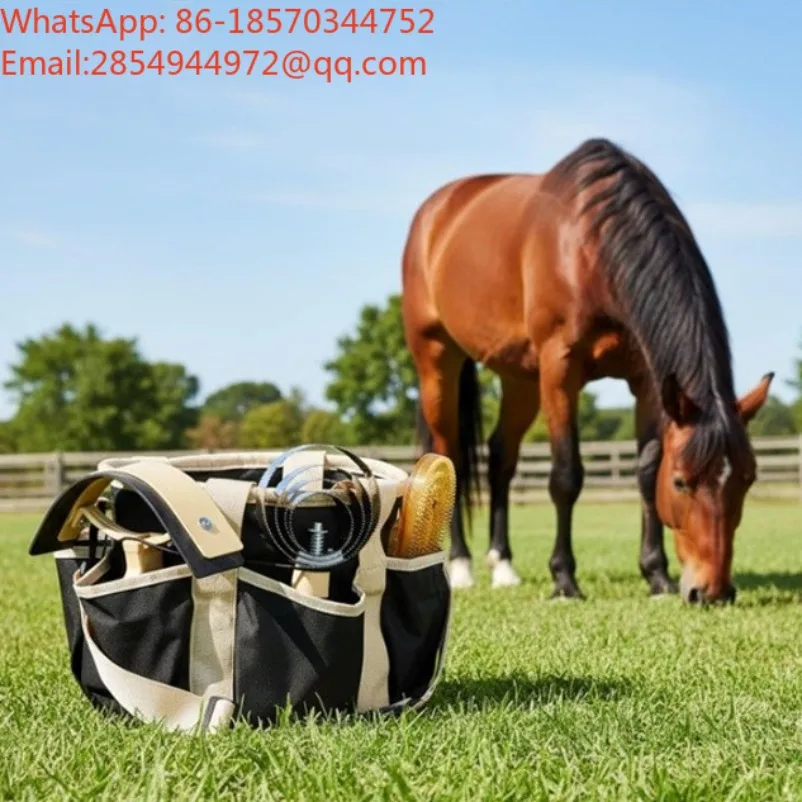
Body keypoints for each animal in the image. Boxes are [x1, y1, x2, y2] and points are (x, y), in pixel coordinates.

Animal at [401, 137, 772, 605]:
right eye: (682, 483)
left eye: (747, 479)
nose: (713, 592)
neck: (588, 247)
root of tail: (436, 210)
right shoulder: (560, 368)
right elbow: (566, 476)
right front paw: (564, 579)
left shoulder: (647, 381)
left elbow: (645, 473)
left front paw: (657, 576)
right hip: (437, 358)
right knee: (448, 454)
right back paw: (461, 566)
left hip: (519, 378)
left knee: (501, 457)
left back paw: (503, 566)